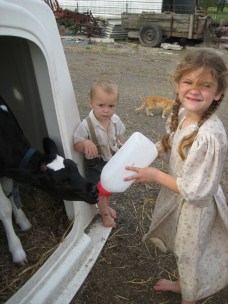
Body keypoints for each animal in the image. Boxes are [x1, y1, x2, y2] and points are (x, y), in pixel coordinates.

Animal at [0, 96, 98, 264]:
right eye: (61, 182)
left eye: (75, 165)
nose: (94, 190)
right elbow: (4, 208)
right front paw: (17, 250)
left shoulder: (9, 170)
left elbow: (10, 191)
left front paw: (22, 220)